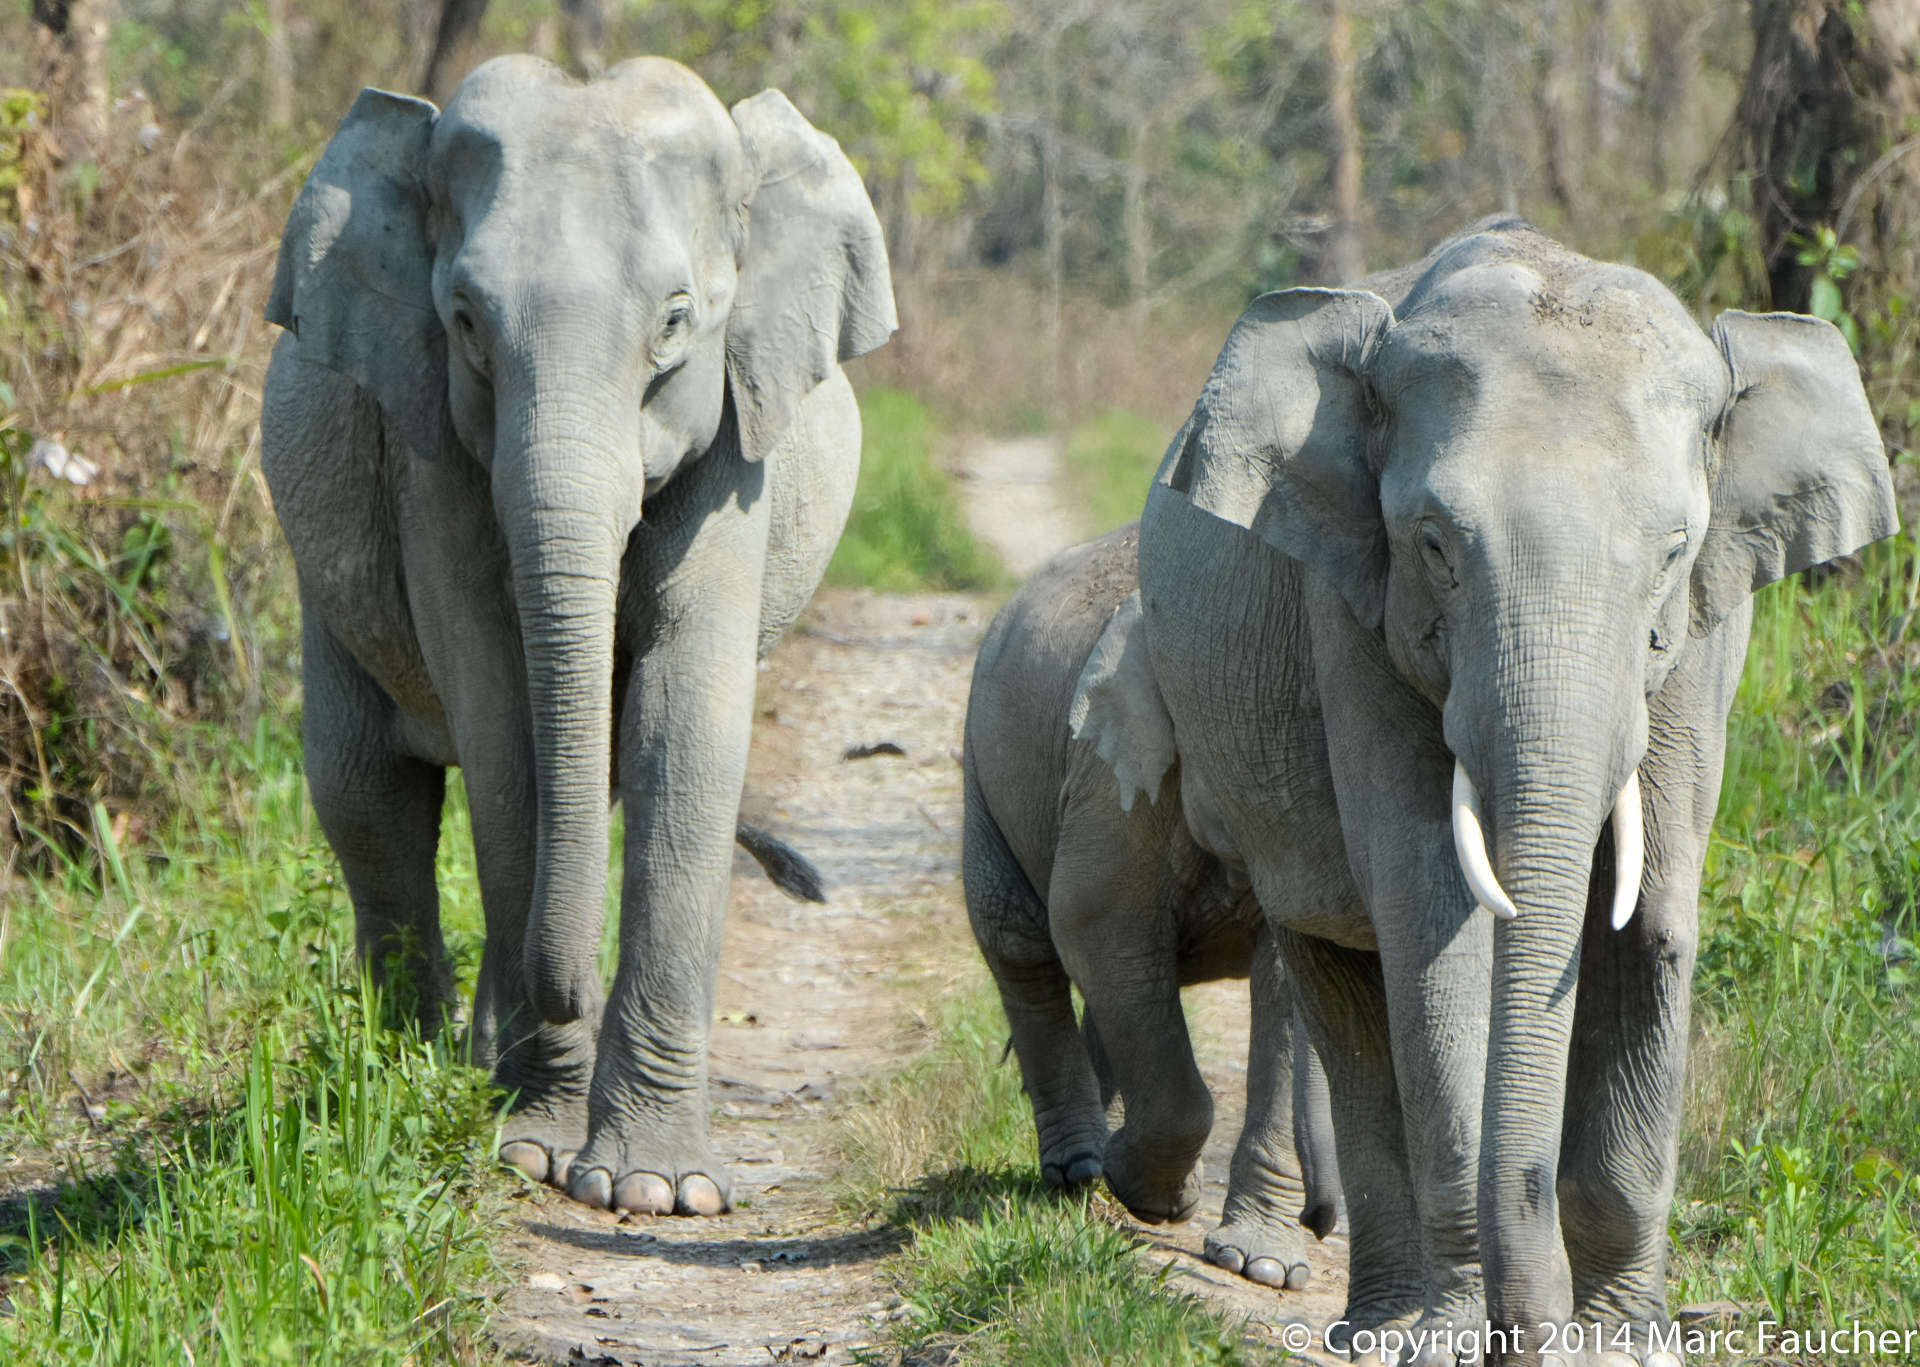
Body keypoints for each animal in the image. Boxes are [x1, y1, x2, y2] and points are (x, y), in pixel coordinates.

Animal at [255, 56, 898, 1221]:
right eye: (465, 320)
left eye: (677, 322)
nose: (565, 995)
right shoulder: (432, 452)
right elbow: (503, 722)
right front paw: (535, 1151)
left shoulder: (736, 446)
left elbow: (681, 736)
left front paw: (654, 1188)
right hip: (321, 581)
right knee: (366, 796)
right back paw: (413, 1070)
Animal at [967, 522, 1344, 1290]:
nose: (1324, 1222)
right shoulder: (1114, 773)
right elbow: (1090, 923)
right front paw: (1158, 1199)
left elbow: (1284, 983)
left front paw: (1264, 1267)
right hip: (980, 765)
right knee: (1021, 938)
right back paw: (1080, 1168)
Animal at [1082, 218, 1904, 1359]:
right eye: (1435, 546)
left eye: (1674, 553)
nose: (1533, 1326)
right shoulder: (1353, 612)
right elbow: (1436, 916)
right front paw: (1461, 1333)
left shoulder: (1704, 642)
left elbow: (1652, 922)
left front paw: (1622, 1339)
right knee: (1333, 961)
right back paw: (1386, 1323)